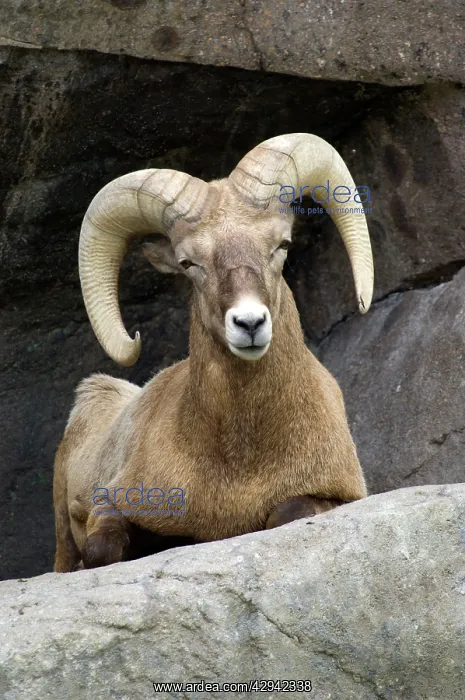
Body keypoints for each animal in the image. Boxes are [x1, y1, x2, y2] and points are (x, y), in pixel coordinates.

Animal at [53, 133, 374, 572]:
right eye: (189, 262)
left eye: (281, 244)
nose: (249, 323)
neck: (238, 466)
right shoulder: (112, 504)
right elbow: (103, 549)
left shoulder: (333, 496)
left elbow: (285, 513)